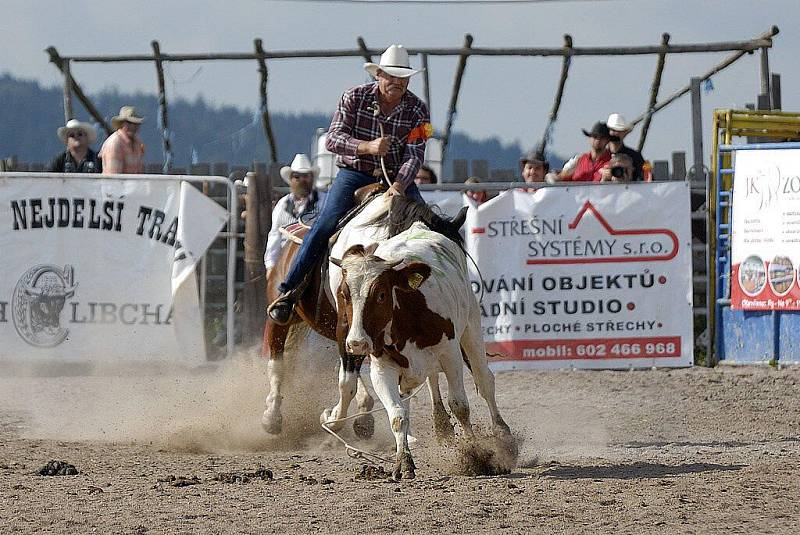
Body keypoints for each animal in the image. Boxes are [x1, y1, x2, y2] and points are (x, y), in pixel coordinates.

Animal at [332, 222, 512, 482]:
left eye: (381, 294)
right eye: (345, 295)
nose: (356, 343)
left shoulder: (450, 355)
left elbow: (460, 405)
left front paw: (475, 454)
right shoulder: (382, 369)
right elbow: (397, 416)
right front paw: (404, 462)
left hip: (471, 327)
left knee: (484, 380)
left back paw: (503, 433)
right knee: (418, 391)